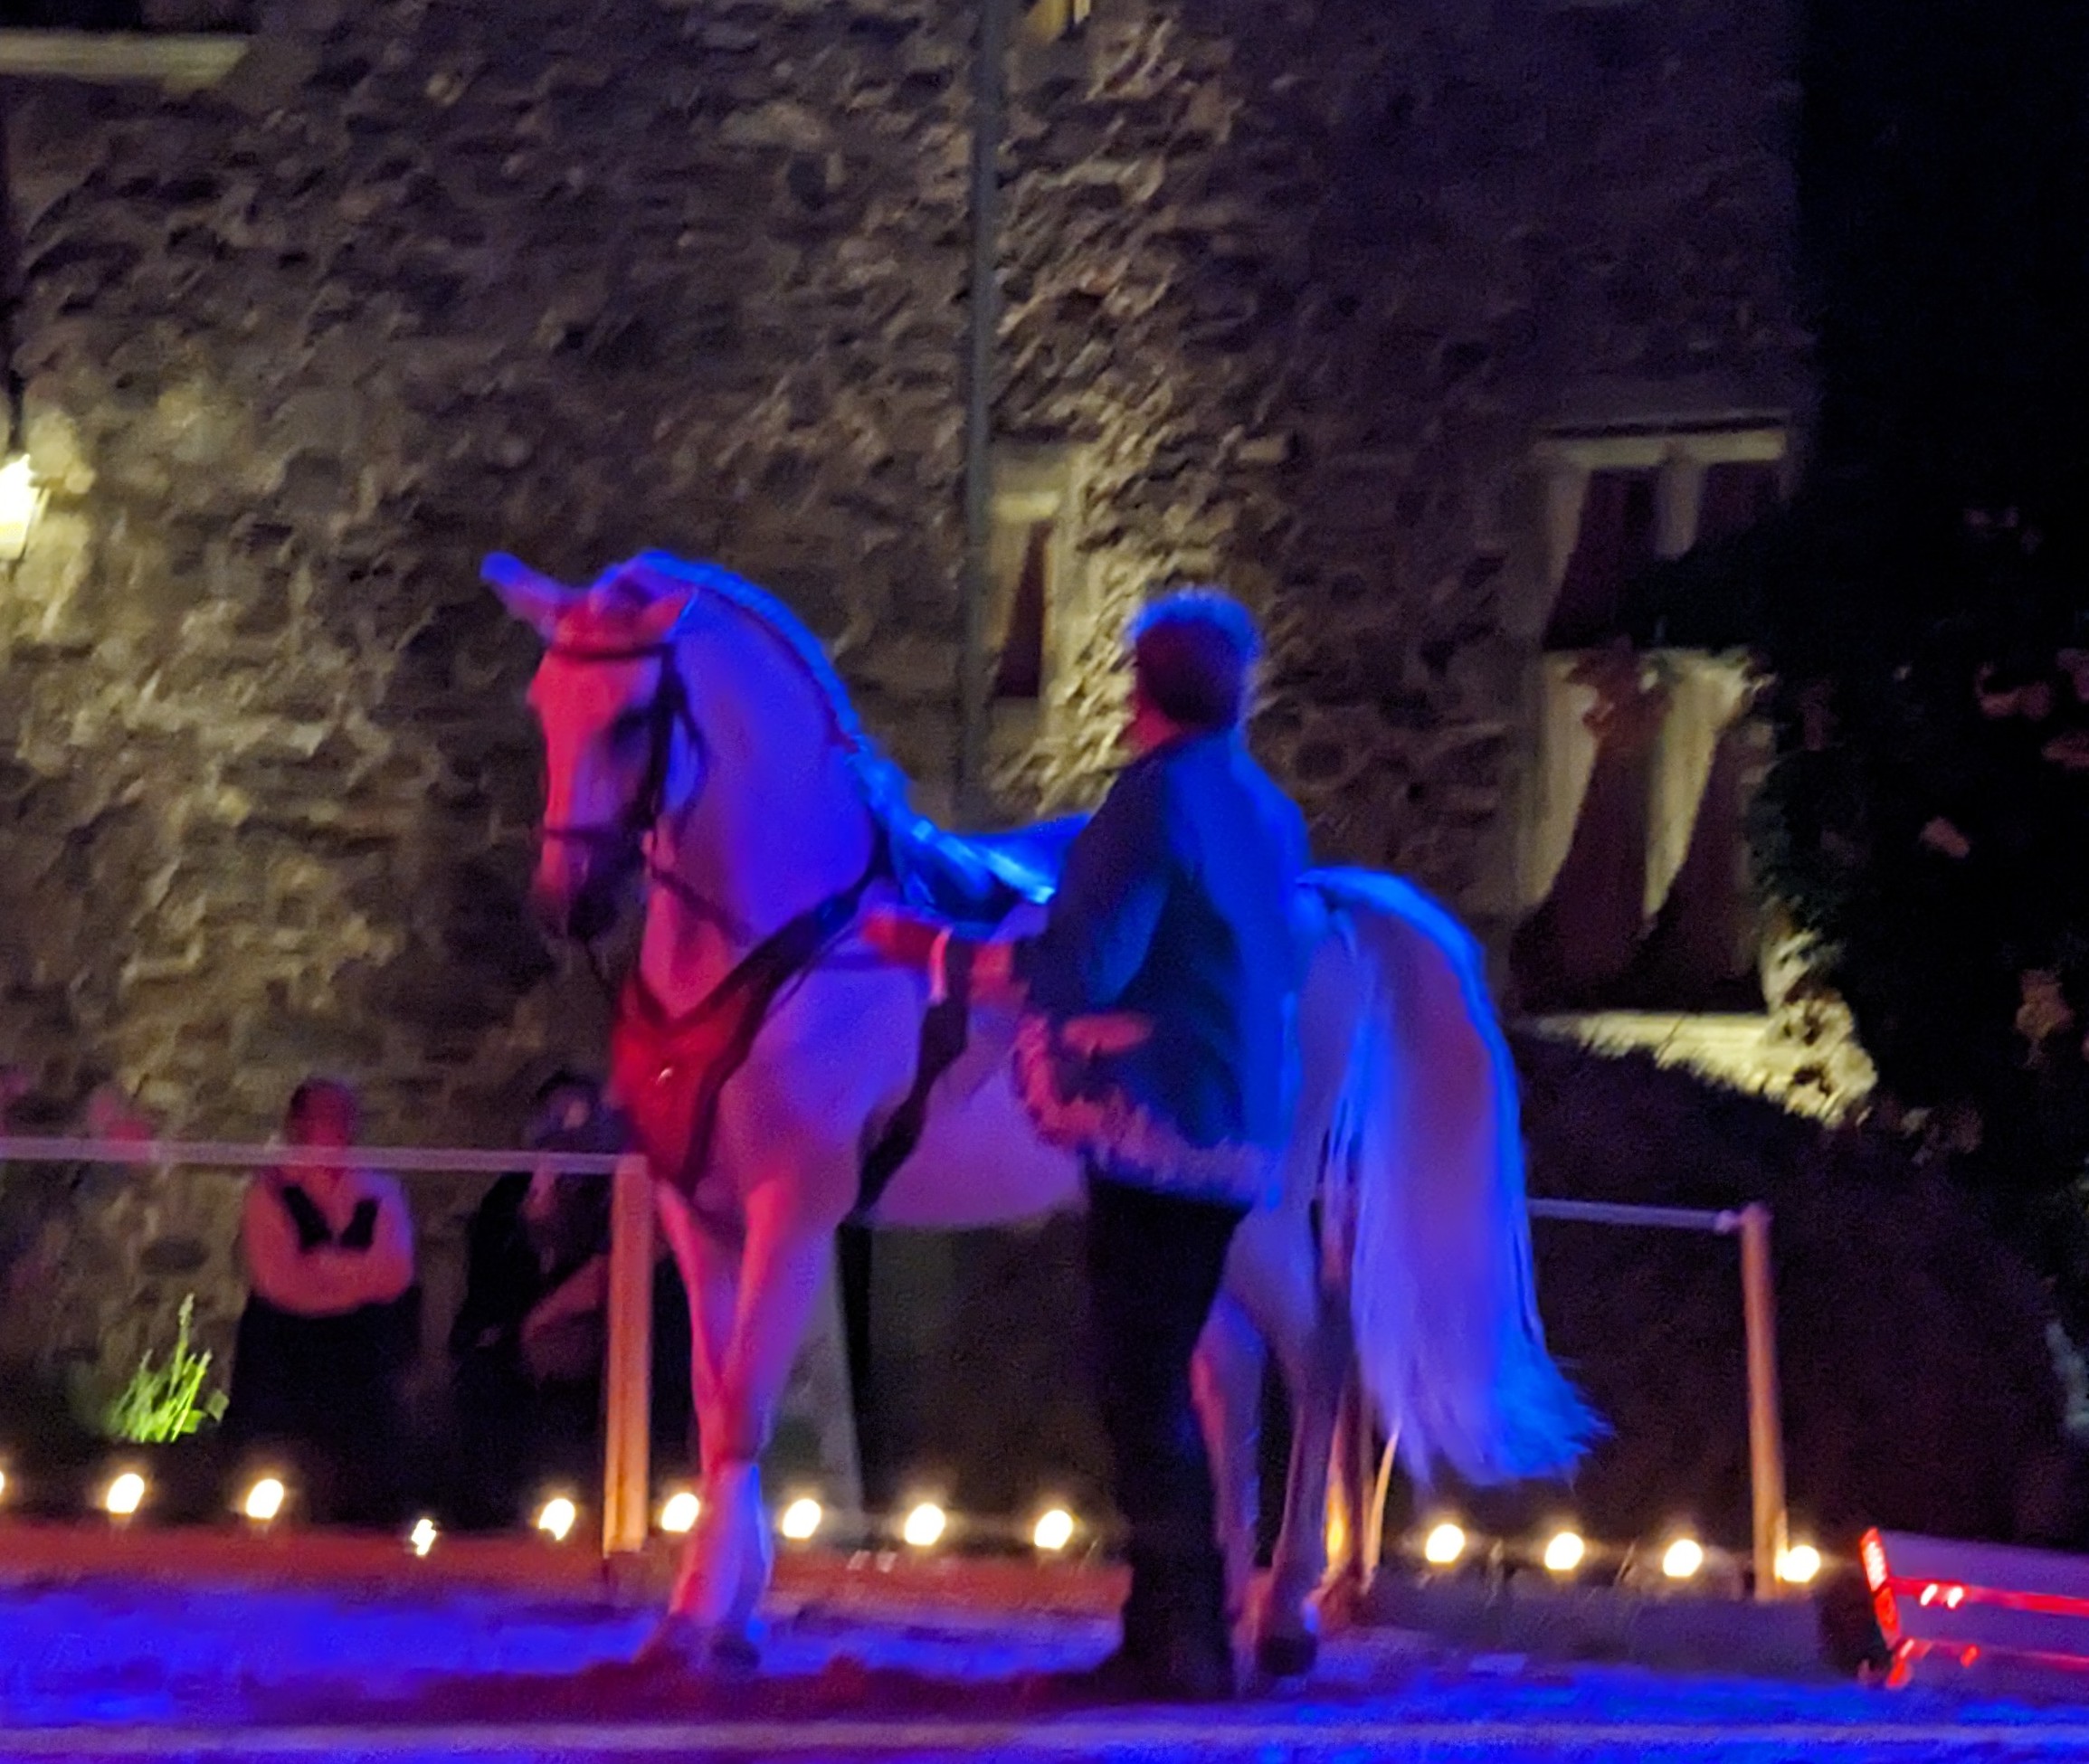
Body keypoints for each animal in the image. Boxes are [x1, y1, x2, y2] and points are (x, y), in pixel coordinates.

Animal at [484, 549, 1597, 1675]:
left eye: (633, 718)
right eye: (543, 703)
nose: (564, 902)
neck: (790, 937)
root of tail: (1318, 898)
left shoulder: (792, 1208)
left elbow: (744, 1404)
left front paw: (701, 1620)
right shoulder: (694, 1210)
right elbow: (718, 1402)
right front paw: (728, 1609)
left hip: (1263, 1210)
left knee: (1316, 1357)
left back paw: (1286, 1613)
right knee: (1226, 1373)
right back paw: (1221, 1606)